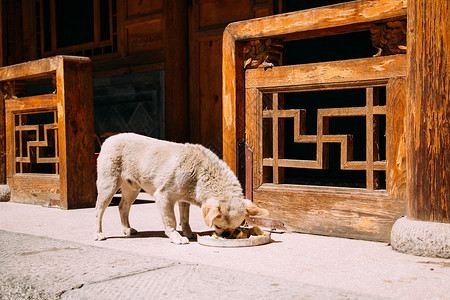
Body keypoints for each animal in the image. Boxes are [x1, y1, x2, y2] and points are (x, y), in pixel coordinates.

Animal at [94, 134, 268, 244]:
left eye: (235, 229)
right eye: (218, 226)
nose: (226, 235)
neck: (201, 172)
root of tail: (108, 140)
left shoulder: (184, 200)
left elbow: (184, 219)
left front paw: (188, 233)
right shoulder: (163, 197)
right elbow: (171, 220)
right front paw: (176, 237)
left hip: (132, 189)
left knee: (123, 207)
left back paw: (127, 229)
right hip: (108, 186)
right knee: (99, 211)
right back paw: (98, 233)